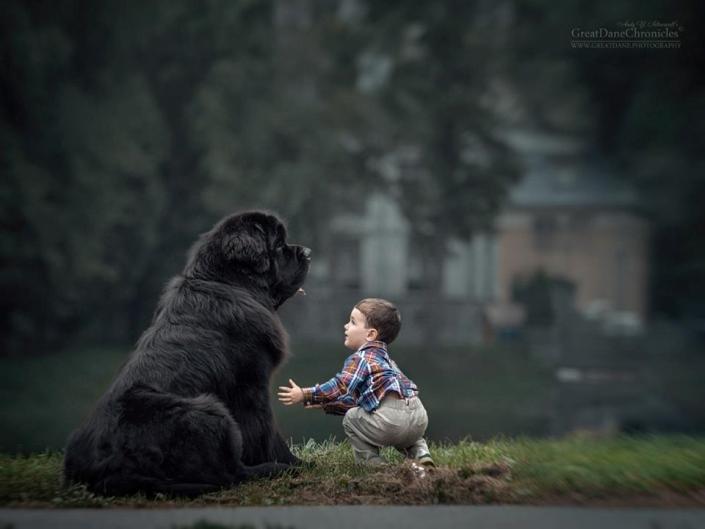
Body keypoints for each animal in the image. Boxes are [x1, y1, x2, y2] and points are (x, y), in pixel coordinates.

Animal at [62, 210, 308, 496]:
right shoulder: (251, 385)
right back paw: (273, 469)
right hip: (207, 411)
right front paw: (294, 462)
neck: (229, 283)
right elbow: (265, 430)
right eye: (279, 245)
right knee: (231, 473)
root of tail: (103, 470)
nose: (308, 252)